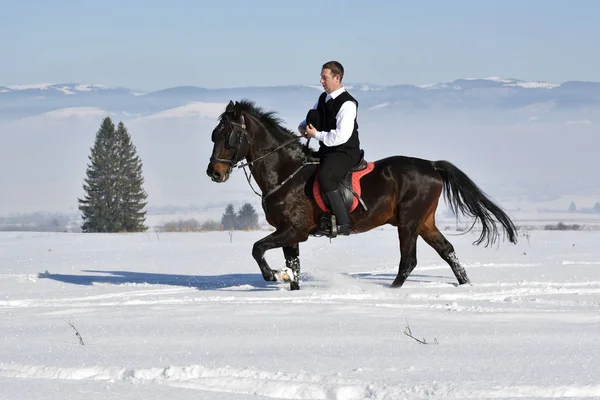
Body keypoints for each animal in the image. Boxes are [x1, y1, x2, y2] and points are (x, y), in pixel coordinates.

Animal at [205, 98, 516, 290]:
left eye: (229, 136)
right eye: (213, 135)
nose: (214, 173)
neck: (285, 173)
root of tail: (431, 165)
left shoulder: (295, 230)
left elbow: (258, 248)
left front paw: (273, 275)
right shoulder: (288, 233)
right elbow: (293, 267)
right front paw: (287, 281)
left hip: (408, 223)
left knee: (409, 261)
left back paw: (392, 291)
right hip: (424, 222)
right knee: (447, 251)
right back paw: (466, 286)